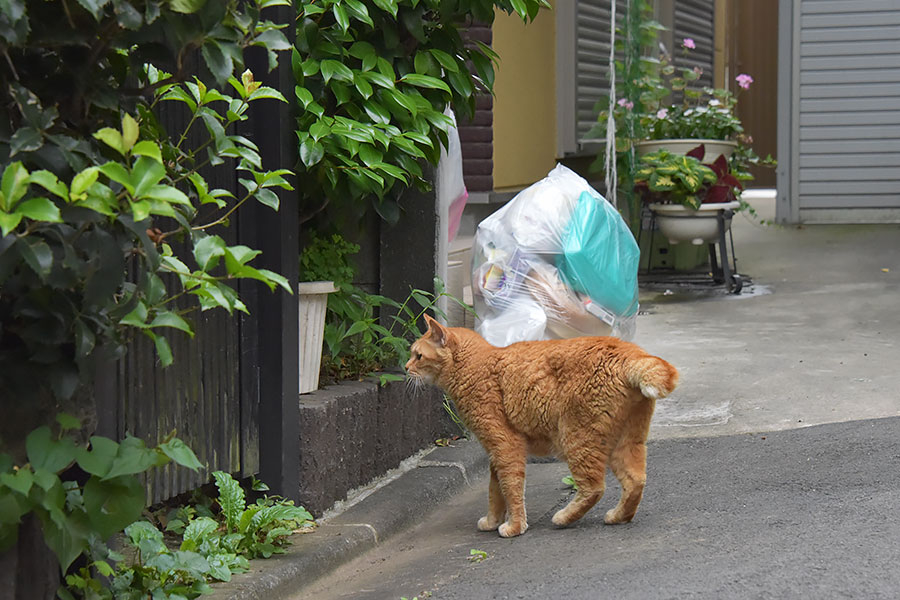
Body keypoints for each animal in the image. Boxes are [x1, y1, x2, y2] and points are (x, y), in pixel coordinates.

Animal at [406, 316, 676, 536]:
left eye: (418, 356)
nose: (406, 368)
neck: (473, 367)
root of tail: (628, 351)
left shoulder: (506, 445)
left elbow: (511, 488)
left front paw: (515, 527)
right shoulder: (496, 453)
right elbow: (495, 492)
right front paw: (492, 521)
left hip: (576, 439)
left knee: (594, 487)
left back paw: (563, 518)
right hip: (626, 441)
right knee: (636, 481)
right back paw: (619, 516)